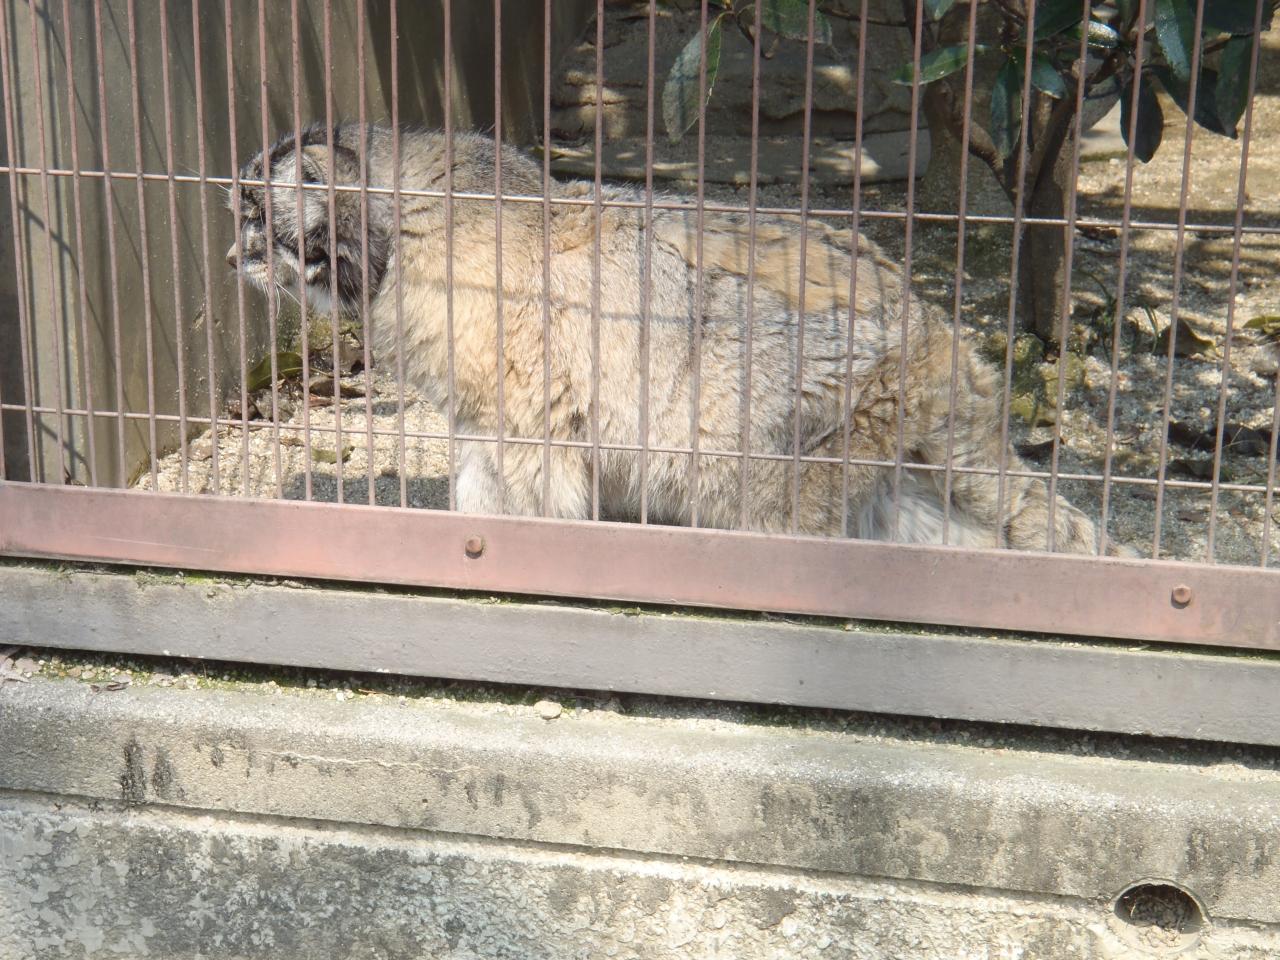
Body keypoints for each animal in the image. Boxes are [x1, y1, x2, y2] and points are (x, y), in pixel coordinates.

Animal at [227, 123, 1108, 552]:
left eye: (256, 215)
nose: (232, 252)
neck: (400, 226)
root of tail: (937, 338)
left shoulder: (522, 409)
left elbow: (526, 481)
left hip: (795, 437)